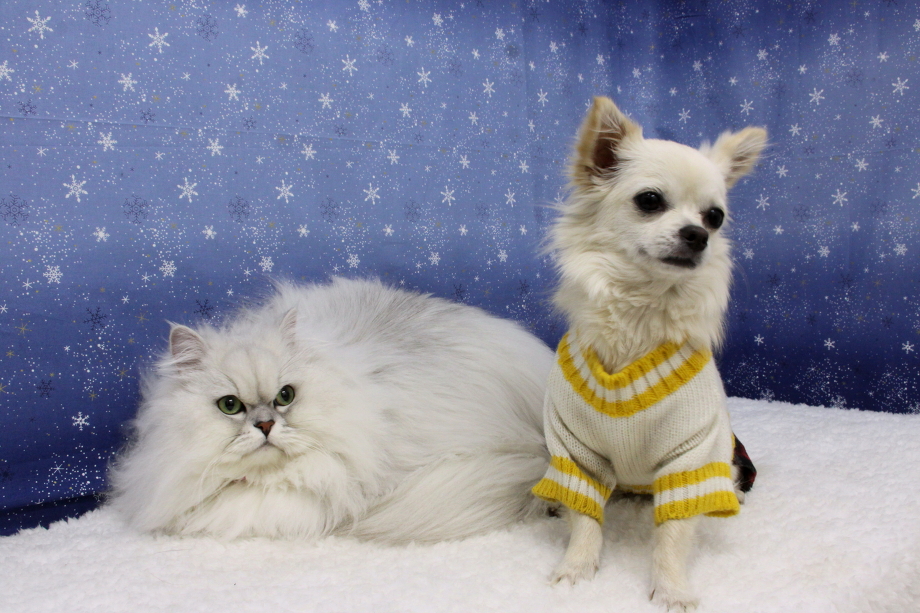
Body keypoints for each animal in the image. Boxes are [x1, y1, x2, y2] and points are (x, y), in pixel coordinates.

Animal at [532, 96, 766, 610]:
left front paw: (672, 587)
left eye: (715, 217)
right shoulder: (576, 453)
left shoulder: (691, 456)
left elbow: (673, 535)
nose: (698, 234)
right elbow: (586, 519)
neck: (639, 314)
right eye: (650, 201)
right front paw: (577, 568)